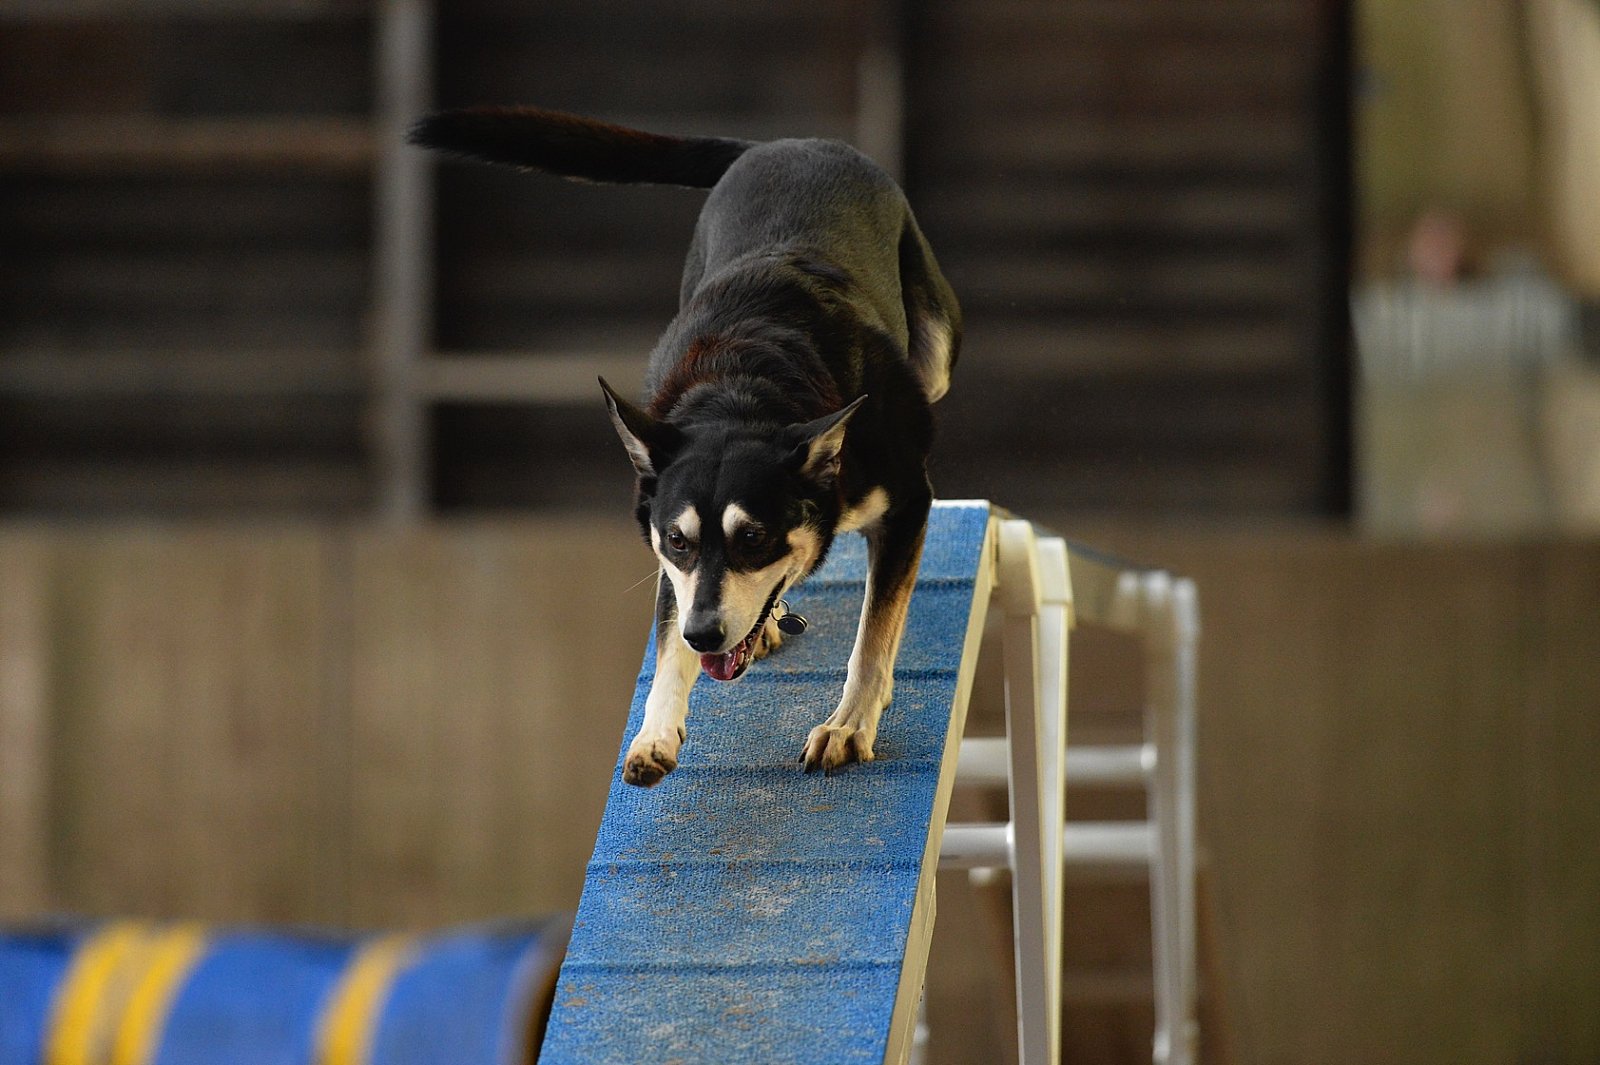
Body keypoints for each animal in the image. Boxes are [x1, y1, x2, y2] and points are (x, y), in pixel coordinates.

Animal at [410, 106, 961, 786]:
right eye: (677, 540)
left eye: (754, 538)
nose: (708, 636)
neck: (743, 387)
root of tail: (785, 143)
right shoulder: (672, 558)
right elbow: (668, 639)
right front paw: (655, 734)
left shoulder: (908, 500)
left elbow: (876, 632)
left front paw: (849, 725)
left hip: (934, 346)